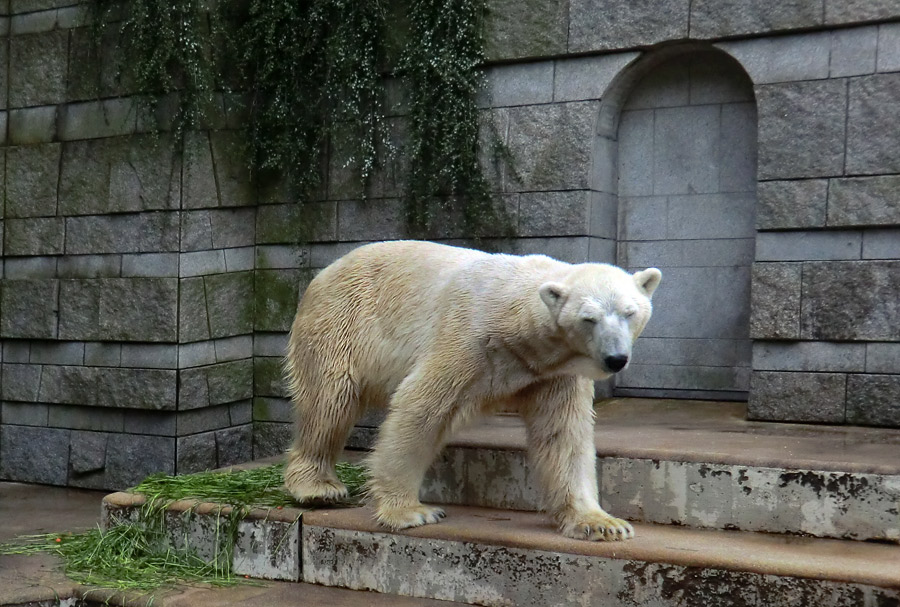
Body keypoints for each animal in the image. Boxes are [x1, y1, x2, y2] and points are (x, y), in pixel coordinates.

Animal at [286, 241, 660, 540]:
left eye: (629, 313)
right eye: (588, 318)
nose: (615, 358)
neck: (517, 330)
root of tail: (324, 272)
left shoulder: (553, 373)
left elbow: (563, 435)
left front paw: (602, 523)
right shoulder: (466, 340)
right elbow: (420, 406)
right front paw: (410, 512)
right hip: (340, 323)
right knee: (330, 401)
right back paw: (318, 488)